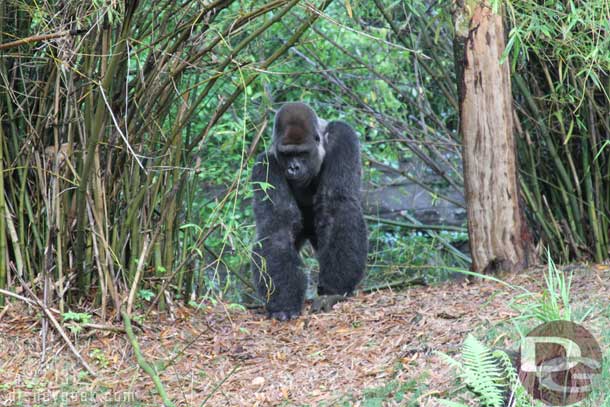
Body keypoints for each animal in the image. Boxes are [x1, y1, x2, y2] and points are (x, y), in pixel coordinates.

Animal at [251, 103, 366, 322]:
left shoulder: (342, 137)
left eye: (303, 152)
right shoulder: (266, 164)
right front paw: (284, 301)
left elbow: (336, 205)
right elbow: (278, 225)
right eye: (287, 154)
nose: (294, 168)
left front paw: (335, 287)